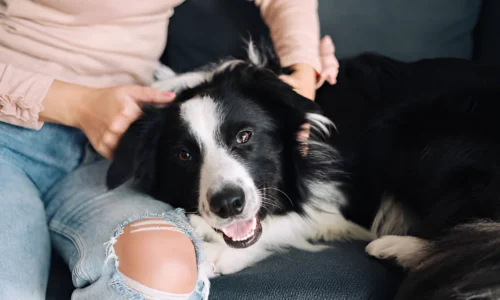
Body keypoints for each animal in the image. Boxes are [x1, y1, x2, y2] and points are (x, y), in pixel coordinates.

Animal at [106, 43, 500, 298]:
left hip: (412, 137)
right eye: (184, 155)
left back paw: (398, 248)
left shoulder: (341, 196)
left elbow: (294, 220)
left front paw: (217, 252)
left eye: (244, 136)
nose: (228, 204)